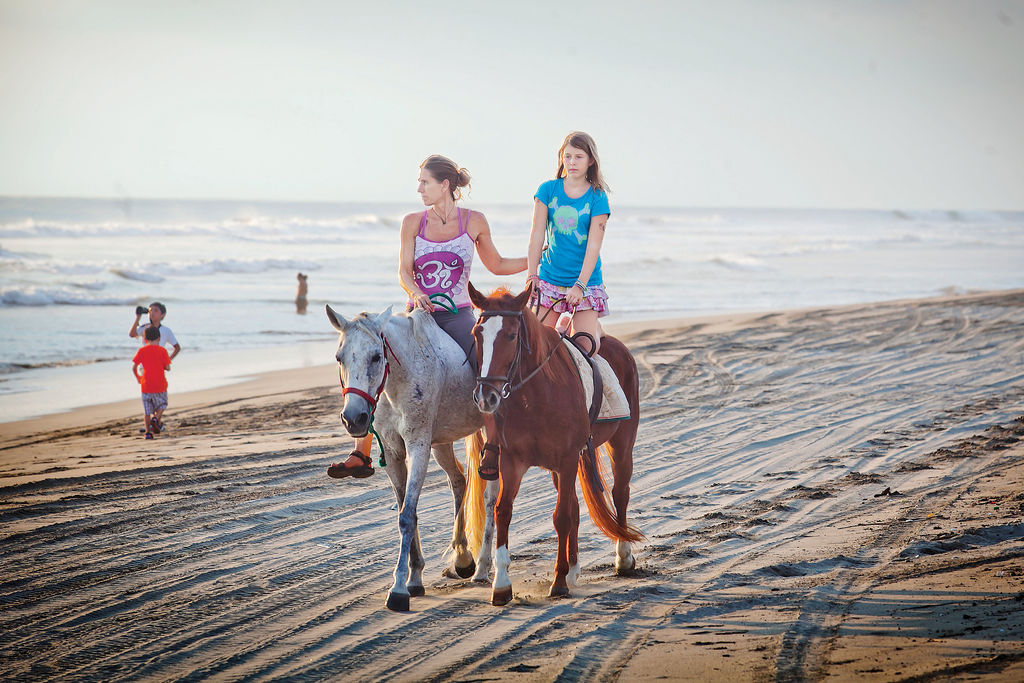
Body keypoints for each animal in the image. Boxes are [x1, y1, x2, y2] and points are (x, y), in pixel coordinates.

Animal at [325, 304, 499, 612]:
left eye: (376, 356)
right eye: (339, 357)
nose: (353, 418)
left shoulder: (418, 447)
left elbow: (406, 516)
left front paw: (398, 589)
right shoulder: (394, 454)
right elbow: (407, 511)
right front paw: (415, 578)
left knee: (490, 499)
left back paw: (481, 568)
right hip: (441, 444)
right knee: (459, 481)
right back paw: (462, 559)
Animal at [466, 283, 644, 606]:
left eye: (511, 335)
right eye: (477, 333)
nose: (486, 397)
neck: (536, 395)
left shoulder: (567, 458)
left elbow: (561, 516)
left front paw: (558, 582)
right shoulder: (513, 461)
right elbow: (503, 511)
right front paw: (501, 584)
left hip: (621, 443)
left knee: (620, 493)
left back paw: (623, 557)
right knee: (573, 503)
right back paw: (574, 569)